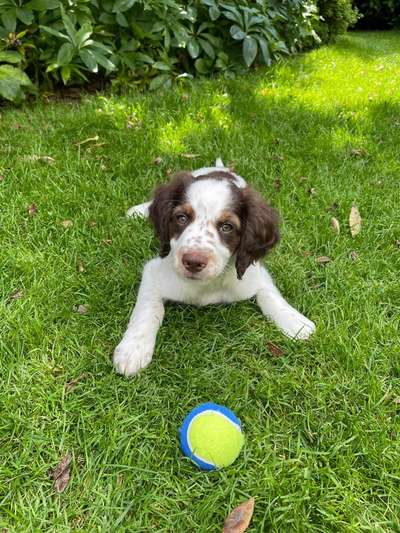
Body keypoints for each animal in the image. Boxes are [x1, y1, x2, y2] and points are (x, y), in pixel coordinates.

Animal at [113, 158, 316, 374]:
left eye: (227, 227)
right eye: (182, 218)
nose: (193, 262)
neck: (208, 285)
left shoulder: (253, 273)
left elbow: (268, 293)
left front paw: (295, 322)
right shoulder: (154, 271)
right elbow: (148, 309)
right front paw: (133, 349)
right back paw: (137, 211)